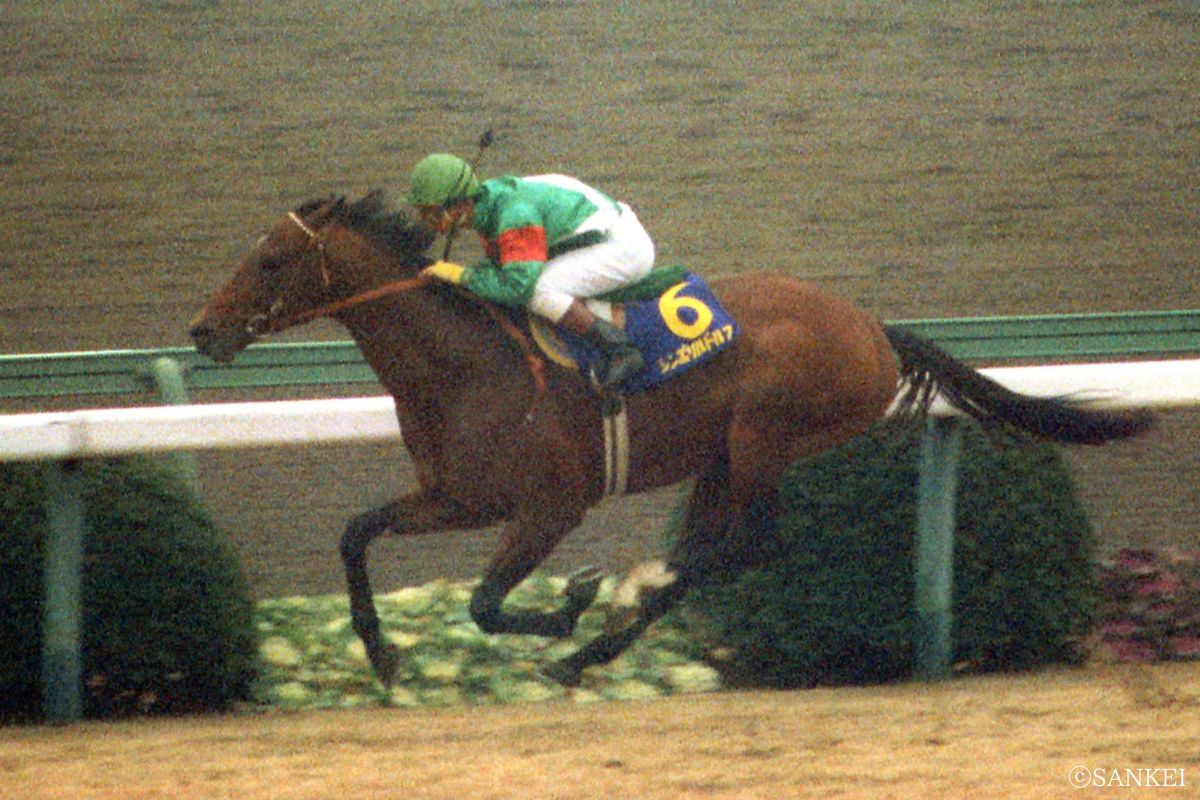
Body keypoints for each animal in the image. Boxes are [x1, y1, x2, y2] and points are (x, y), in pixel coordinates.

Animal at [188, 191, 1154, 687]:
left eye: (271, 260)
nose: (202, 330)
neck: (467, 365)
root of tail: (873, 329)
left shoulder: (549, 506)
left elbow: (487, 605)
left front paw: (569, 604)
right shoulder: (455, 495)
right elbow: (357, 535)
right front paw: (384, 652)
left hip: (765, 433)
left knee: (744, 546)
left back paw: (595, 632)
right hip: (723, 454)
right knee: (714, 549)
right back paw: (600, 643)